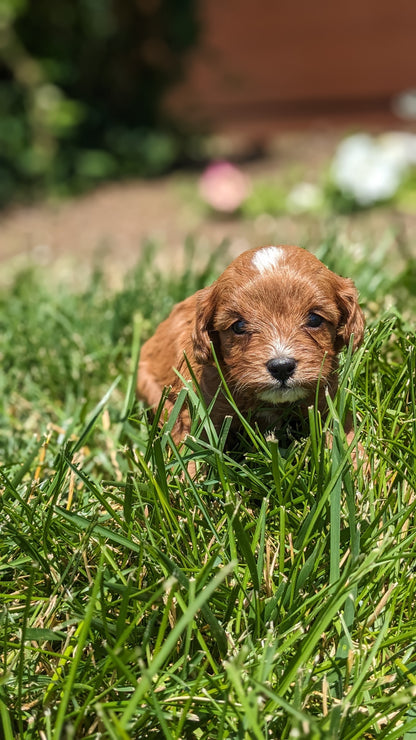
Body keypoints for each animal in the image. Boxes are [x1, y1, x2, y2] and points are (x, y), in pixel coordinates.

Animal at [136, 247, 364, 446]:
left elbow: (345, 436)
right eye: (239, 326)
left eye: (315, 319)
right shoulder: (199, 412)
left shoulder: (328, 400)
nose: (281, 367)